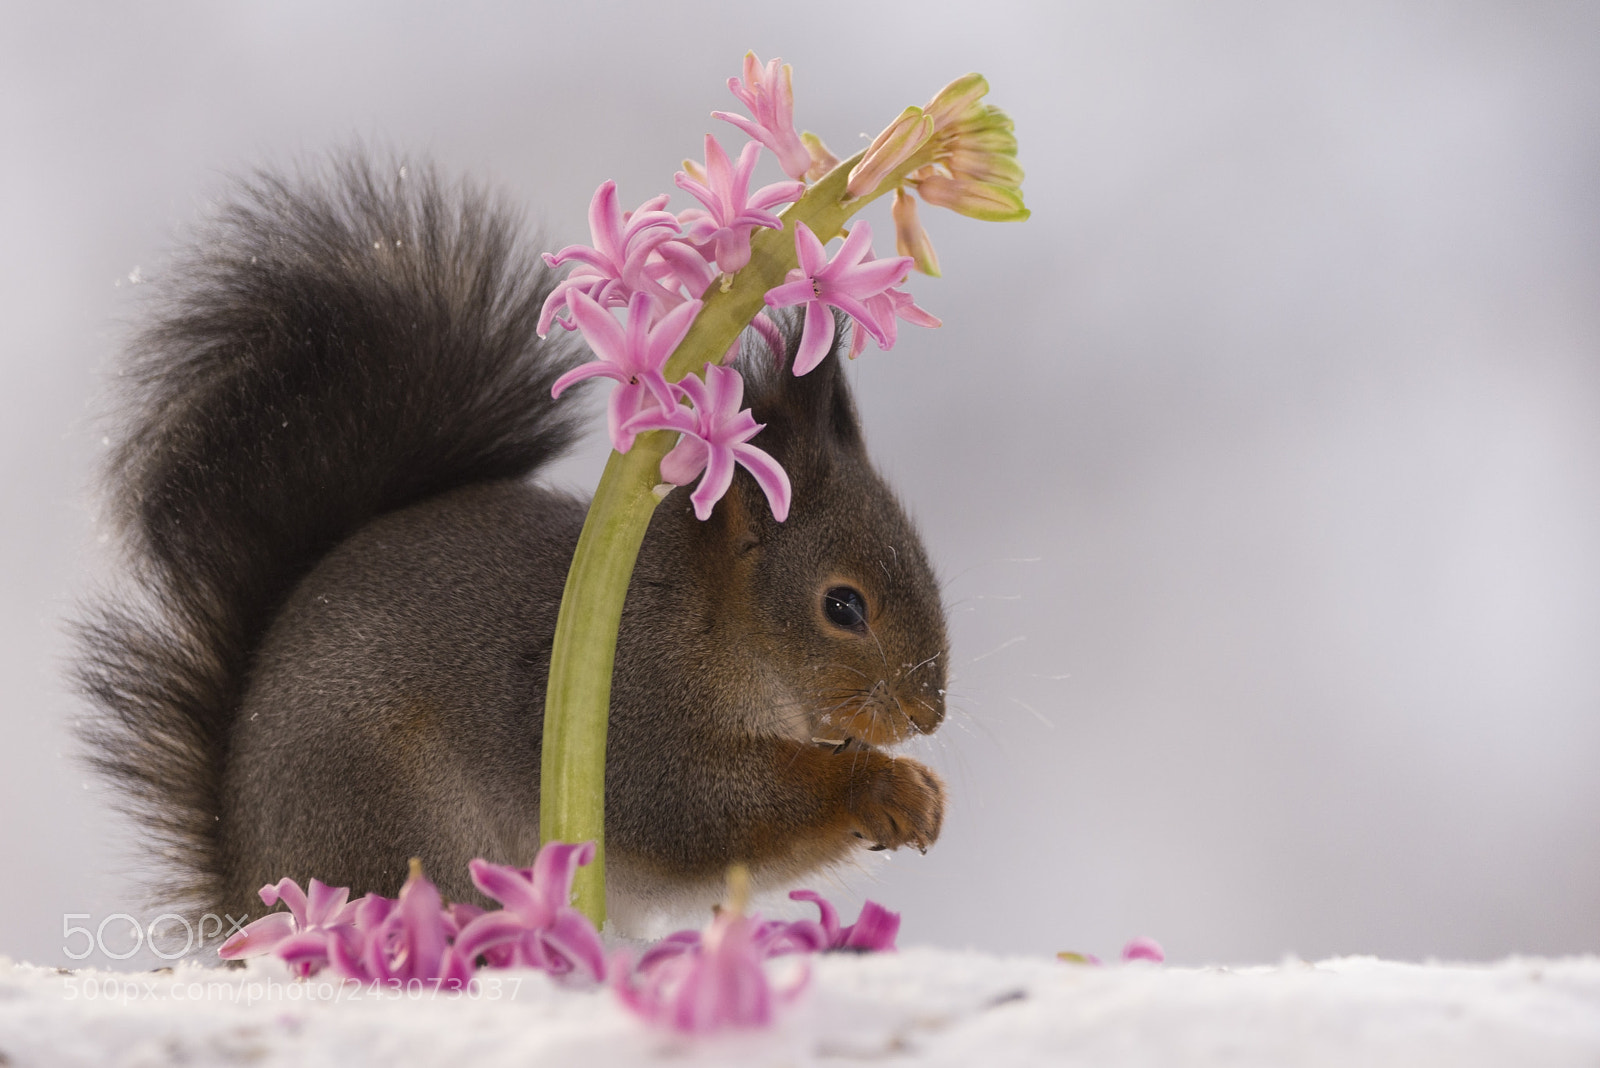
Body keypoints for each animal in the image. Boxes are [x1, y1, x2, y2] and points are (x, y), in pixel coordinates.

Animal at [74, 154, 949, 935]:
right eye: (843, 606)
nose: (928, 712)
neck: (708, 624)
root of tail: (247, 884)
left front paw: (918, 789)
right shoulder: (638, 723)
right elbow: (701, 811)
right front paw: (883, 788)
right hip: (401, 820)